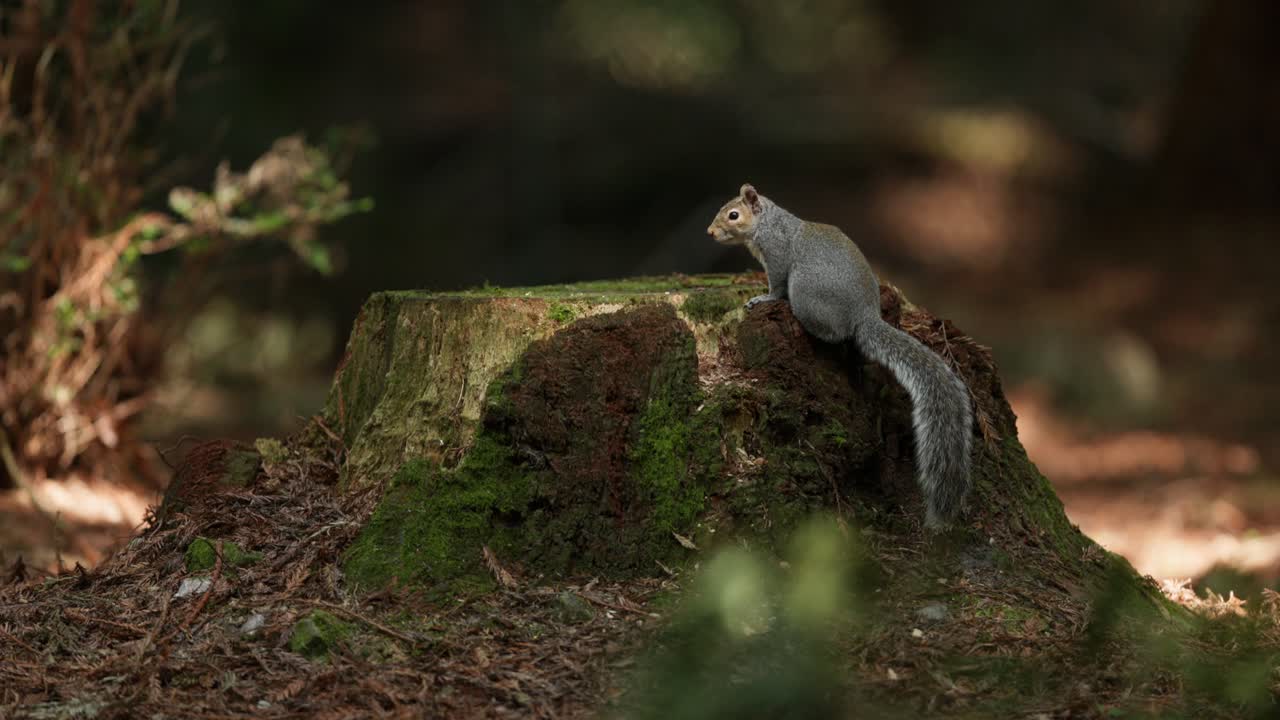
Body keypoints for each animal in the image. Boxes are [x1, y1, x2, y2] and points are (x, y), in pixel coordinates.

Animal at [707, 183, 973, 528]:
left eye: (734, 215)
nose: (710, 231)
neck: (770, 224)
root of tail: (865, 314)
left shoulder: (777, 257)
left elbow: (775, 286)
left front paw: (762, 299)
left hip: (805, 290)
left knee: (833, 332)